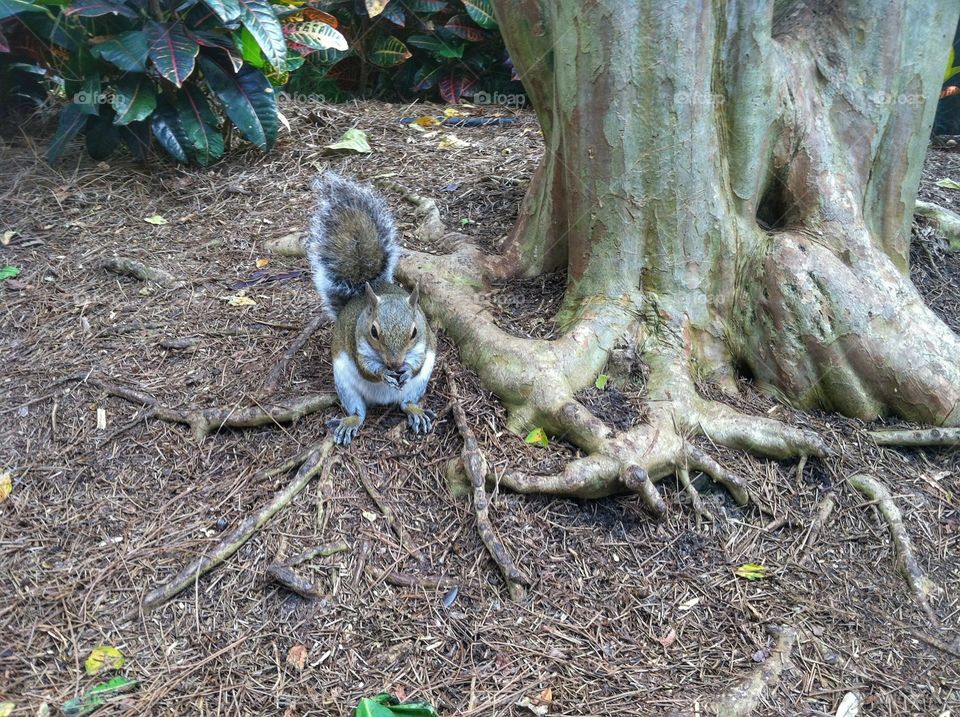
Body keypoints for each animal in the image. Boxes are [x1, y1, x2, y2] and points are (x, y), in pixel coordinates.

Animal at [307, 172, 436, 446]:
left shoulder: (425, 343)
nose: (396, 365)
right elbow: (367, 369)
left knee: (406, 403)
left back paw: (416, 411)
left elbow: (417, 363)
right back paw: (350, 422)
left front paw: (406, 371)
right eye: (373, 332)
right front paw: (383, 374)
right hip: (345, 386)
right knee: (358, 410)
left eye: (414, 332)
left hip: (418, 386)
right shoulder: (356, 344)